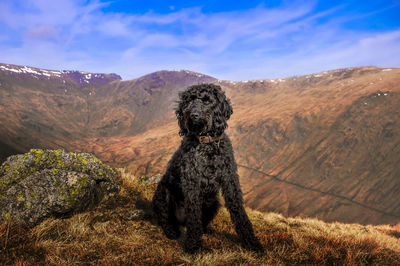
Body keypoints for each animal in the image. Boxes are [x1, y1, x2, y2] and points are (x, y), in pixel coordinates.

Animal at [152, 83, 264, 254]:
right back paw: (172, 231)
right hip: (162, 195)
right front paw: (193, 246)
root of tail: (181, 221)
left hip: (213, 203)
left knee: (201, 222)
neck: (208, 144)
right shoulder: (192, 182)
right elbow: (194, 216)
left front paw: (251, 242)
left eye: (207, 100)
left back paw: (207, 230)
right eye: (189, 101)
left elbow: (239, 211)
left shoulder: (230, 179)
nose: (193, 115)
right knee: (166, 219)